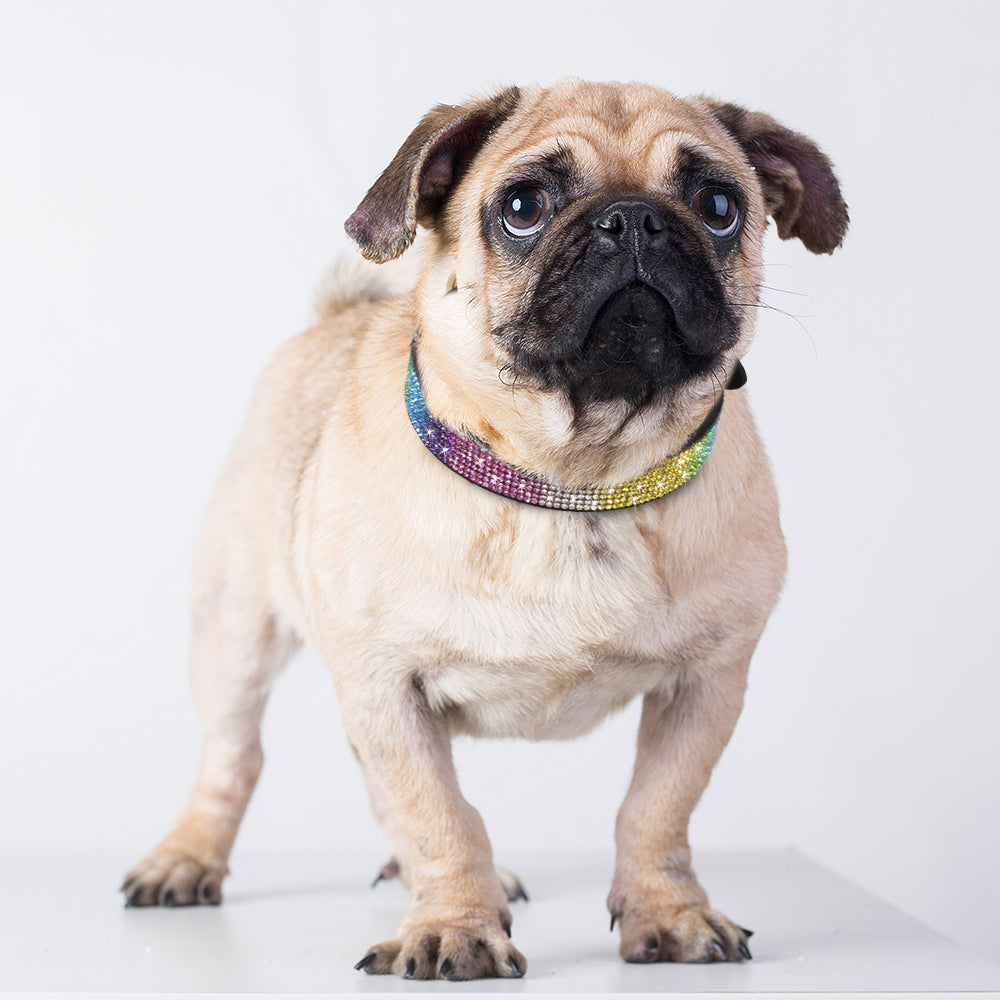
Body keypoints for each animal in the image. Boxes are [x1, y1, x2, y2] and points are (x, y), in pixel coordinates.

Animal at [121, 80, 848, 984]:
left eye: (719, 207)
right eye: (524, 207)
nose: (634, 219)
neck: (572, 486)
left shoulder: (707, 685)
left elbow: (656, 808)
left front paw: (668, 914)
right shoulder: (386, 684)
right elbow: (441, 812)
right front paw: (453, 928)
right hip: (234, 634)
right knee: (234, 756)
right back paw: (186, 859)